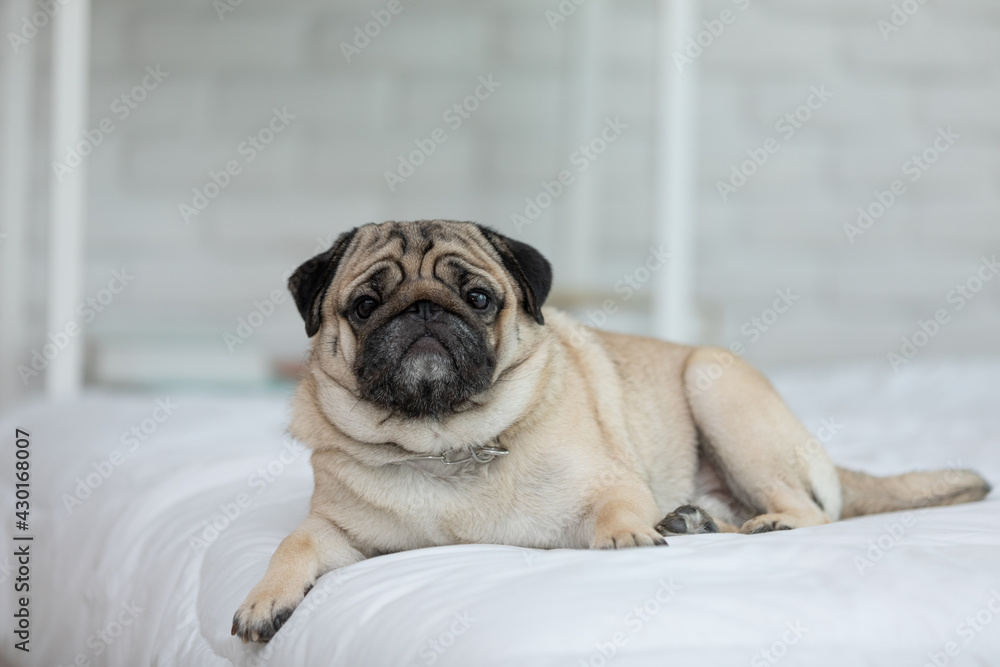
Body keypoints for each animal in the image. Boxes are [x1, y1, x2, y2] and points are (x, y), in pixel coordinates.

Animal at [230, 219, 988, 640]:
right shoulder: (339, 531)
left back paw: (757, 523)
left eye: (478, 297)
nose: (423, 311)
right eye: (364, 305)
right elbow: (296, 543)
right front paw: (264, 597)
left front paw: (626, 536)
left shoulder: (607, 482)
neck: (444, 441)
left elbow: (618, 506)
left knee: (813, 509)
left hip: (718, 388)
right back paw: (696, 521)